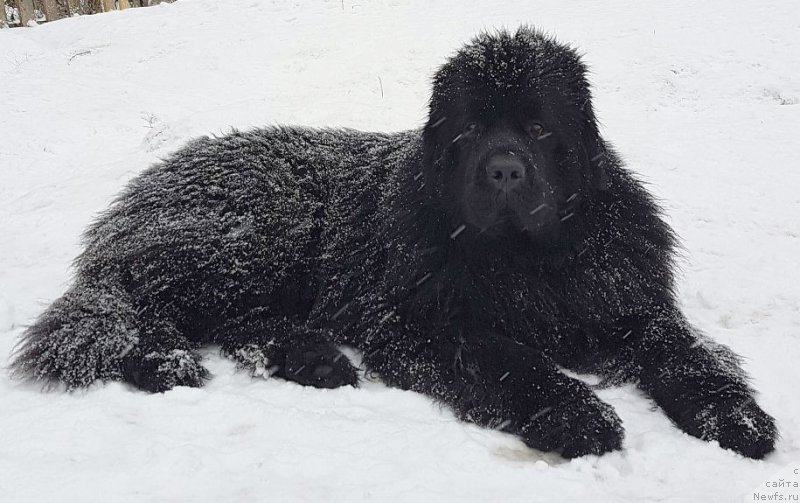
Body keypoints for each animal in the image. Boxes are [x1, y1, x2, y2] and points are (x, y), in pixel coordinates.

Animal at [10, 26, 776, 460]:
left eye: (538, 128)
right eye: (472, 128)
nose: (504, 170)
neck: (524, 263)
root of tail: (132, 200)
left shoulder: (627, 302)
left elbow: (683, 350)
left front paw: (734, 415)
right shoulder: (423, 322)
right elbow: (513, 359)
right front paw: (576, 414)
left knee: (230, 320)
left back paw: (314, 359)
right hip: (261, 227)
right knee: (160, 312)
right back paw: (166, 363)